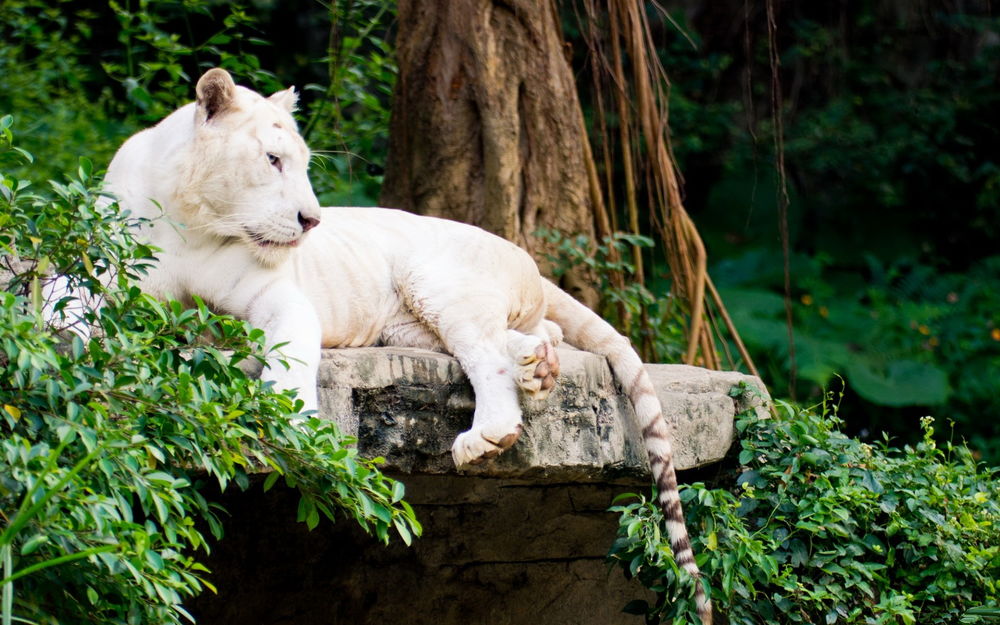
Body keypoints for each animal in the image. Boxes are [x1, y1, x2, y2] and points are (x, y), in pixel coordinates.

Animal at [101, 70, 712, 620]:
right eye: (273, 160)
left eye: (302, 163)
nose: (311, 220)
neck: (187, 219)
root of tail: (524, 255)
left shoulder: (278, 296)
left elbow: (290, 361)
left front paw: (291, 429)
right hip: (409, 324)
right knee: (535, 334)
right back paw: (537, 367)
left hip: (434, 279)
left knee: (488, 356)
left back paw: (490, 428)